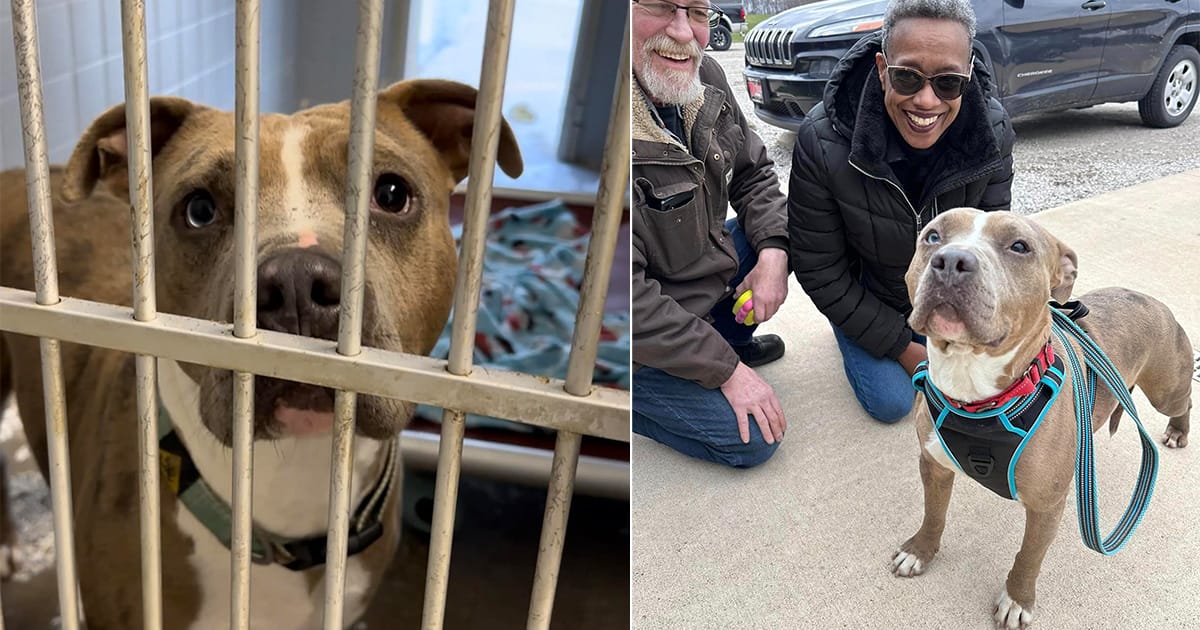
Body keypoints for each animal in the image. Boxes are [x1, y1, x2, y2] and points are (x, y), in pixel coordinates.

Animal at [892, 207, 1190, 628]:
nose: (951, 261)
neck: (977, 398)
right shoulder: (933, 466)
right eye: (933, 236)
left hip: (1167, 388)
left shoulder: (1047, 505)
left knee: (1184, 401)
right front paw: (920, 550)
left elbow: (1029, 555)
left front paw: (1018, 598)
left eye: (1020, 246)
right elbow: (933, 514)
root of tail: (1150, 298)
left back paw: (1179, 431)